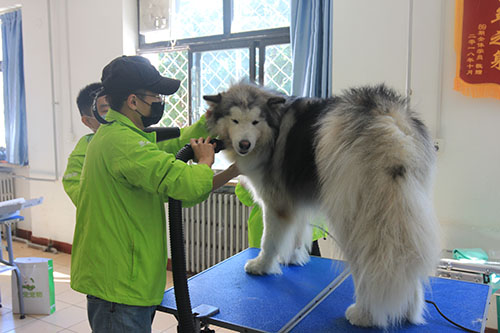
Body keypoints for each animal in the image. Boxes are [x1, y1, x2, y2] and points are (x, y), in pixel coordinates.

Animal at [203, 82, 438, 326]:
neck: (273, 129)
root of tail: (389, 121)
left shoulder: (275, 204)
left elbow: (268, 241)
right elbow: (297, 234)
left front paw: (262, 265)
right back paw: (409, 311)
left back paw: (365, 314)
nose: (244, 144)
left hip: (354, 216)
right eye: (235, 120)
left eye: (255, 122)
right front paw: (293, 258)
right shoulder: (295, 201)